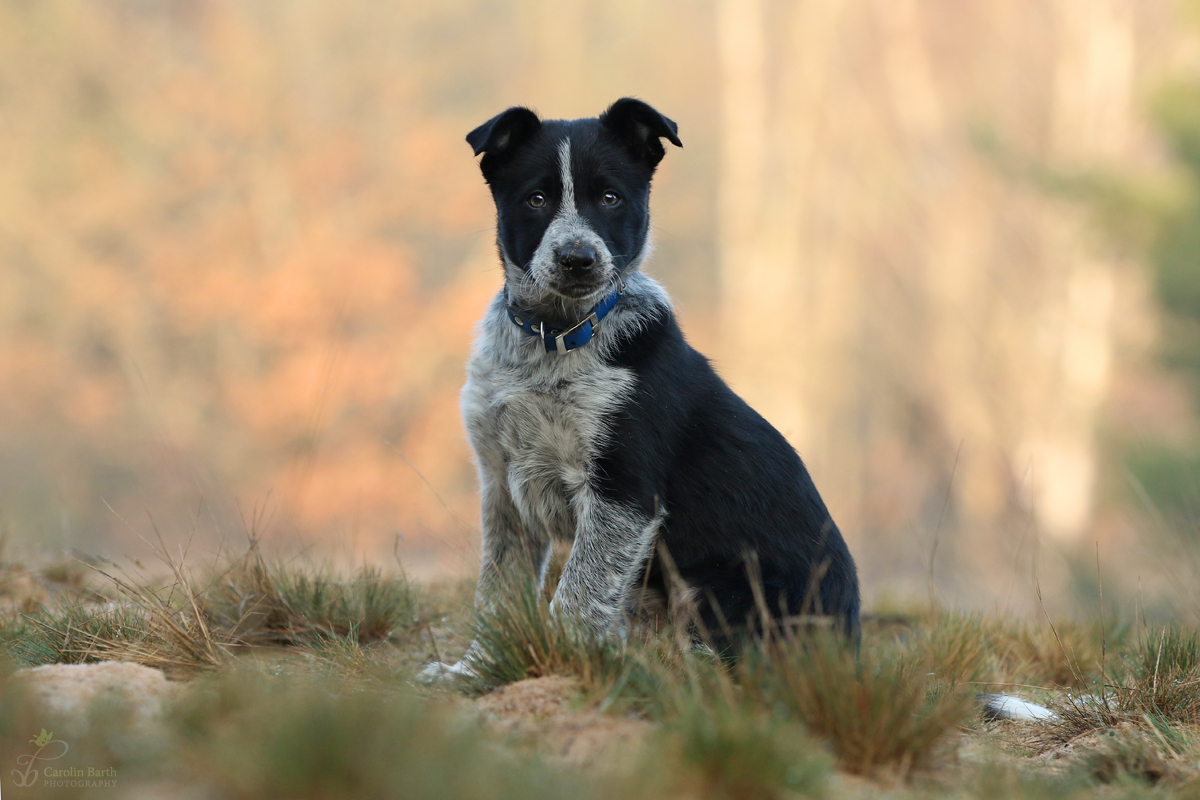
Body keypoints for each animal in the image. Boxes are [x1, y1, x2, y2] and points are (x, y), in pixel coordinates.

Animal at [422, 97, 864, 681]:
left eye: (610, 198)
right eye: (536, 199)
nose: (578, 258)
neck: (554, 336)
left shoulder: (622, 491)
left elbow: (578, 593)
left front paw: (562, 662)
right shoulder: (501, 482)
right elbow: (498, 591)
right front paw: (475, 670)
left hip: (714, 589)